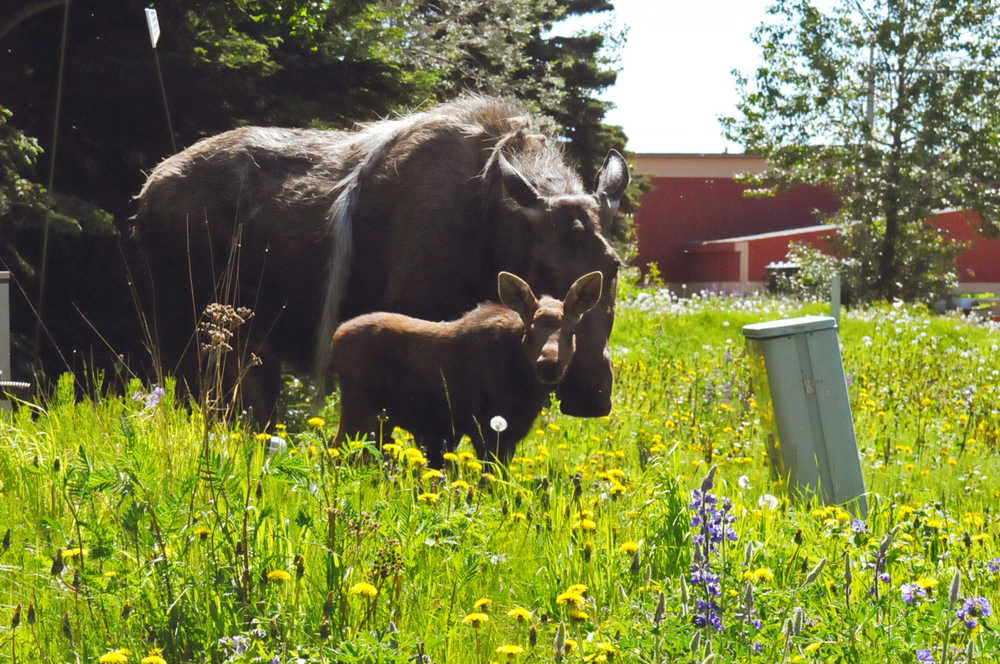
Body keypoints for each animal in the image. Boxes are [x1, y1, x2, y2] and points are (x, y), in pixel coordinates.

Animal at [334, 270, 600, 466]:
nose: (549, 365)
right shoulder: (486, 427)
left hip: (382, 419)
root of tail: (335, 337)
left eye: (571, 332)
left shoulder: (509, 432)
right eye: (529, 331)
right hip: (358, 408)